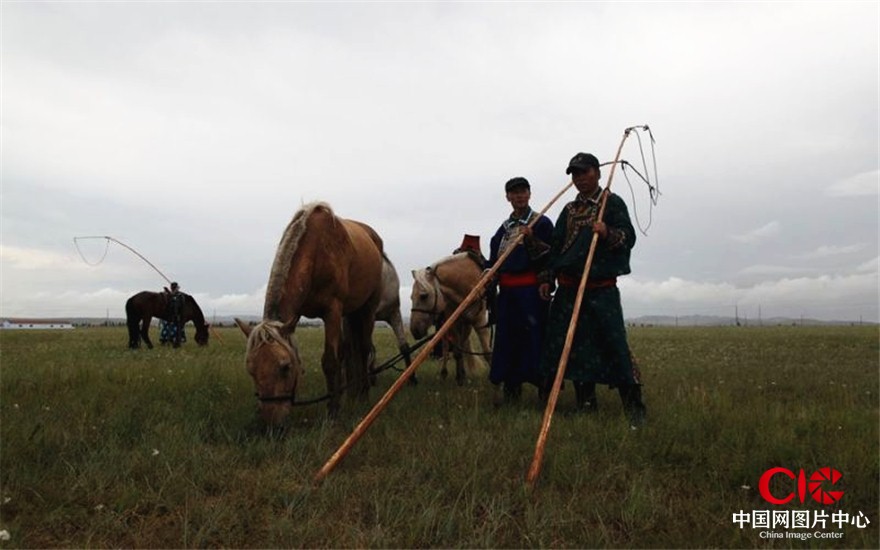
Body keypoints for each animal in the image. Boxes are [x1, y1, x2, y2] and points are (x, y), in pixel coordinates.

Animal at [410, 253, 492, 386]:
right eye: (411, 297)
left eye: (424, 296)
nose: (415, 330)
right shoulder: (451, 322)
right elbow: (457, 351)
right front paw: (459, 378)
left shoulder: (479, 321)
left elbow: (486, 351)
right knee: (445, 346)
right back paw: (444, 373)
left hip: (466, 324)